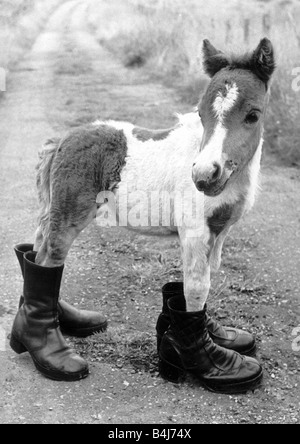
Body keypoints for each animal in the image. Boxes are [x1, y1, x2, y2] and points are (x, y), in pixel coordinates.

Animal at [12, 40, 276, 390]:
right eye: (202, 114)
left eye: (253, 116)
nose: (204, 175)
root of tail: (62, 139)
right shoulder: (194, 231)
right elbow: (197, 288)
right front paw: (208, 361)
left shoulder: (217, 233)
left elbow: (197, 282)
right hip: (68, 213)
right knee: (47, 259)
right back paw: (49, 351)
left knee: (36, 250)